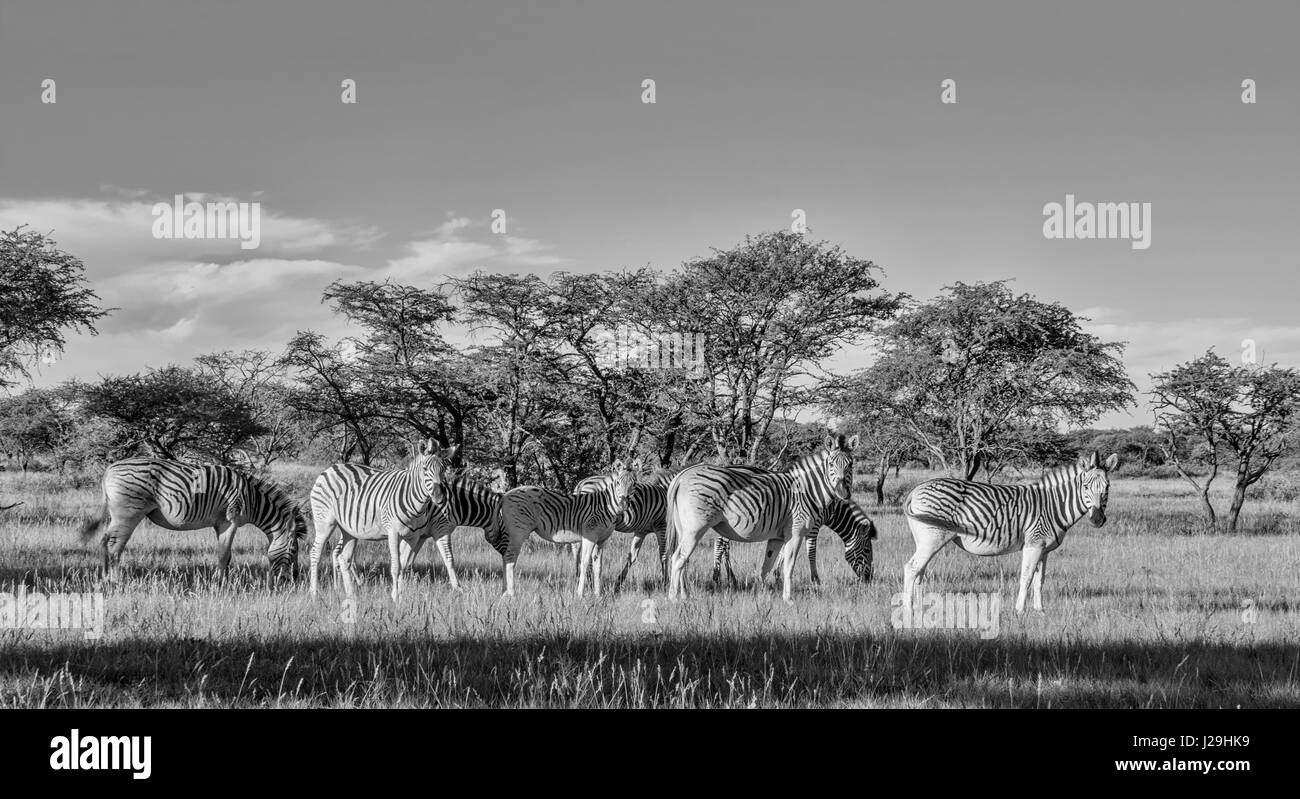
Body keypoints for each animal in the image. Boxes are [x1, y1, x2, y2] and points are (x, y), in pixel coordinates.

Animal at [78, 457, 306, 584]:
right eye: (294, 550)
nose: (294, 580)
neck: (253, 500)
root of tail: (110, 469)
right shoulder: (230, 521)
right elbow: (224, 554)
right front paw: (219, 584)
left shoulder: (219, 524)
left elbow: (226, 555)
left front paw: (223, 580)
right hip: (128, 513)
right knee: (115, 546)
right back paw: (115, 580)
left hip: (117, 515)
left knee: (105, 541)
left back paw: (105, 578)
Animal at [307, 440, 454, 602]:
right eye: (425, 469)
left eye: (443, 469)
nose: (439, 497)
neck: (416, 503)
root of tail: (330, 469)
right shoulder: (393, 533)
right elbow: (396, 567)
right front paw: (395, 597)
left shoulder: (413, 536)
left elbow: (404, 565)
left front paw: (401, 596)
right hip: (324, 523)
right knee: (315, 553)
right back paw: (314, 593)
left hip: (348, 530)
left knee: (344, 558)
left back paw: (351, 594)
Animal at [488, 459, 635, 597]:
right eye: (618, 483)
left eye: (633, 484)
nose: (624, 502)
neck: (605, 505)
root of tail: (506, 495)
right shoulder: (590, 536)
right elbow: (584, 562)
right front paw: (580, 594)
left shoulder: (601, 540)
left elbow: (598, 566)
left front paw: (597, 595)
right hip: (518, 531)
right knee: (510, 558)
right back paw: (511, 593)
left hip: (512, 532)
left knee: (505, 556)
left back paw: (504, 592)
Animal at [665, 435, 873, 603]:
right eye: (831, 464)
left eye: (851, 464)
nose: (842, 493)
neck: (809, 492)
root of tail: (682, 475)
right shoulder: (798, 531)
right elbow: (792, 563)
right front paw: (790, 597)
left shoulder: (777, 537)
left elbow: (767, 566)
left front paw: (760, 594)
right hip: (696, 528)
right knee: (678, 558)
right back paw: (674, 598)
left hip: (683, 528)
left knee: (683, 559)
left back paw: (685, 595)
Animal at [902, 451, 1118, 615]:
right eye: (1086, 487)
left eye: (1107, 487)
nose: (1097, 520)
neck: (1054, 505)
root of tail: (917, 489)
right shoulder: (1033, 544)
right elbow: (1026, 577)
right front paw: (1019, 611)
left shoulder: (1044, 549)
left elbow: (1039, 581)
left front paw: (1040, 611)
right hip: (933, 538)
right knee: (911, 568)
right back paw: (908, 610)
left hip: (925, 541)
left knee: (919, 571)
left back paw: (920, 609)